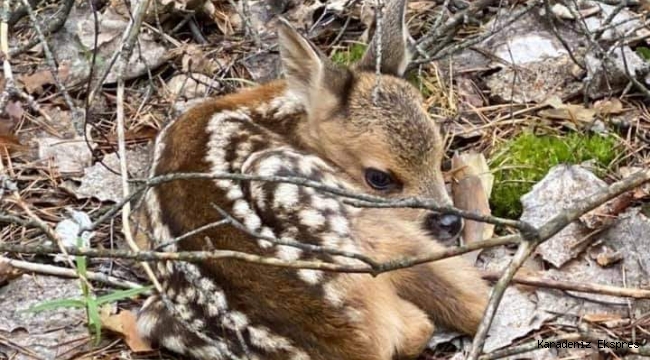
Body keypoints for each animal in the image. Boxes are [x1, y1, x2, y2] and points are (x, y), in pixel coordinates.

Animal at [137, 0, 488, 360]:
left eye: (440, 149)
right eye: (379, 178)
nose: (450, 222)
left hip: (152, 317)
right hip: (303, 187)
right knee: (432, 317)